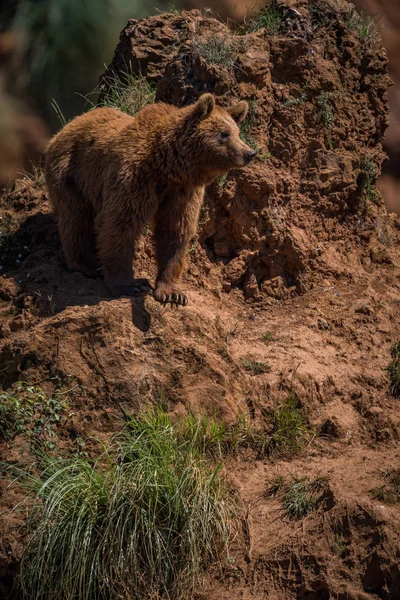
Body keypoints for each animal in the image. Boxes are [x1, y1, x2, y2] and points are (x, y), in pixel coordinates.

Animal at [44, 96, 256, 308]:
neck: (166, 167)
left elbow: (174, 231)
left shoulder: (182, 192)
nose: (250, 152)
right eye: (224, 133)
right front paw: (129, 285)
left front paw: (173, 293)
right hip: (71, 173)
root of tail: (68, 125)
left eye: (237, 132)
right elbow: (120, 225)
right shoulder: (133, 180)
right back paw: (85, 264)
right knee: (75, 217)